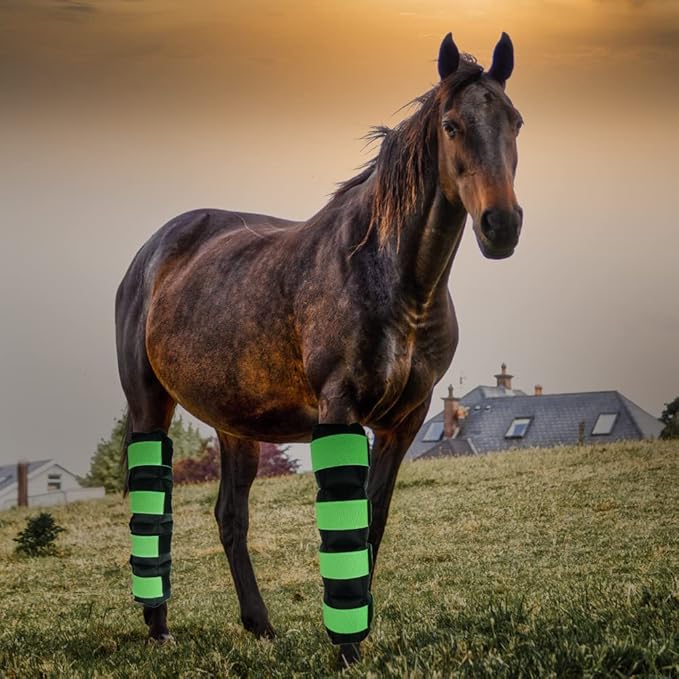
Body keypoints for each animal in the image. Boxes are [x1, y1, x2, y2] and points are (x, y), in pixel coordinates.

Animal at [115, 31, 523, 666]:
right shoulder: (340, 409)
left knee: (230, 517)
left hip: (236, 426)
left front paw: (356, 637)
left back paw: (258, 623)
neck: (395, 278)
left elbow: (371, 522)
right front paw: (346, 647)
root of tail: (151, 253)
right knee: (153, 505)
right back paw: (158, 625)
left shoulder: (404, 422)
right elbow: (345, 526)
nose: (501, 224)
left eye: (516, 121)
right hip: (148, 405)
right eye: (452, 125)